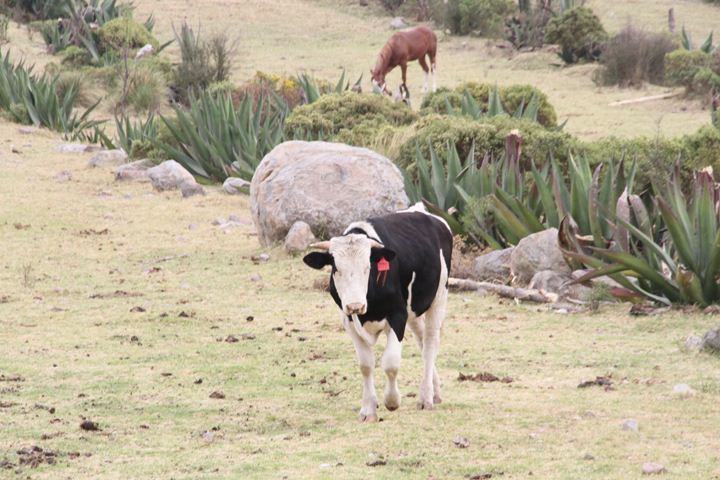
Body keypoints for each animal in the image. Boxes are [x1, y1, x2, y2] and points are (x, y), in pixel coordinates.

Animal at [302, 204, 450, 422]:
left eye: (367, 267)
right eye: (336, 268)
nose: (355, 304)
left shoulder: (398, 316)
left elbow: (390, 363)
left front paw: (392, 401)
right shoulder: (348, 321)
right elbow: (365, 365)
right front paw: (368, 409)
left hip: (439, 297)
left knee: (430, 344)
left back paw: (425, 398)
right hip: (414, 309)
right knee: (422, 341)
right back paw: (436, 392)